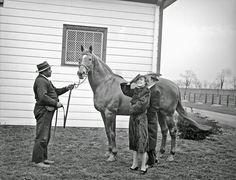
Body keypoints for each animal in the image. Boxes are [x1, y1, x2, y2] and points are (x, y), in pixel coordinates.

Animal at [77, 45, 210, 162]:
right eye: (79, 58)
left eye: (90, 59)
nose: (80, 73)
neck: (105, 84)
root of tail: (175, 86)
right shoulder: (104, 114)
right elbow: (108, 132)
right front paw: (109, 152)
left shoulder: (110, 113)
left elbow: (111, 133)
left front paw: (113, 155)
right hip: (161, 113)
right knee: (164, 130)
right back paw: (160, 154)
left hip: (168, 114)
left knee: (172, 131)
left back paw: (171, 155)